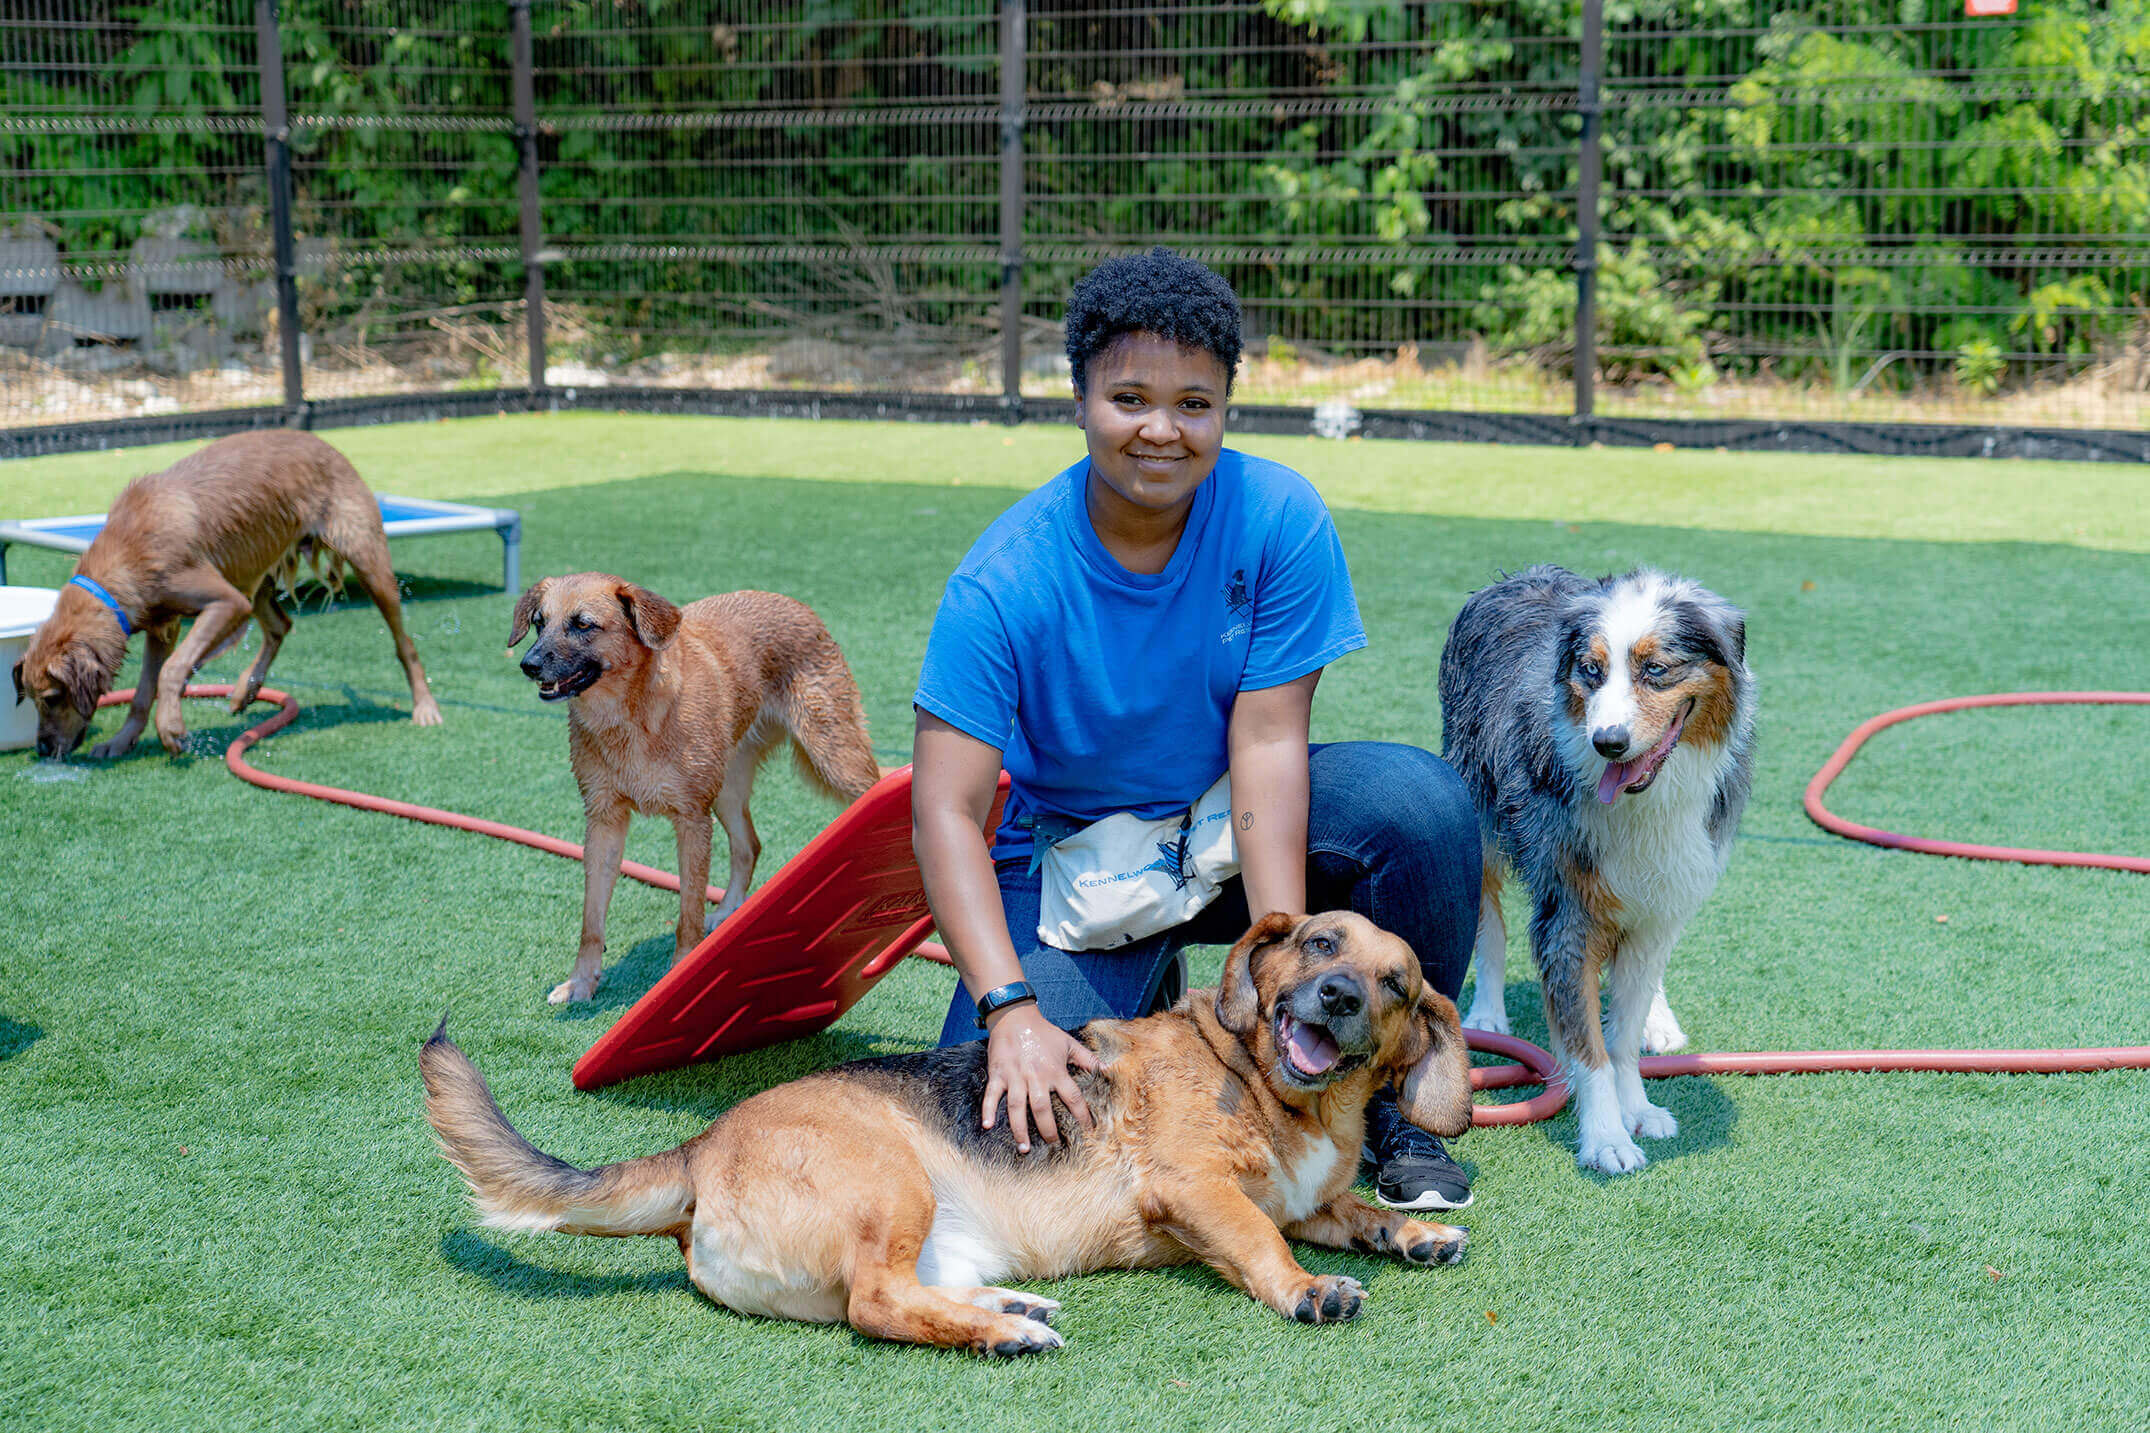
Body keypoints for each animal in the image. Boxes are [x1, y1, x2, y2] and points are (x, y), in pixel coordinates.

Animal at [15, 431, 445, 760]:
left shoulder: (223, 603)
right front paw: (122, 741)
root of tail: (325, 443)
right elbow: (143, 691)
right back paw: (243, 690)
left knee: (404, 642)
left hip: (367, 562)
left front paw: (171, 727)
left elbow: (172, 670)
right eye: (32, 700)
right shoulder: (164, 626)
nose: (41, 749)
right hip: (255, 577)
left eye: (51, 697)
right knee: (280, 626)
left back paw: (425, 707)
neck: (125, 553)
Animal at [419, 906, 1479, 1357]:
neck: (1278, 1091)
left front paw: (1416, 1231)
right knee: (875, 1303)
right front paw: (1308, 1289)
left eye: (1396, 983)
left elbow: (1356, 1211)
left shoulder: (1313, 1199)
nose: (1339, 997)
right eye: (1320, 943)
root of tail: (701, 1150)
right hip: (894, 1179)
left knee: (905, 1291)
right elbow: (1264, 1239)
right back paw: (1005, 1333)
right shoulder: (1197, 1191)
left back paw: (1007, 1307)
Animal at [507, 575, 877, 1005]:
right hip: (729, 788)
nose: (528, 664)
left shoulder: (692, 820)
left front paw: (680, 970)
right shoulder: (604, 821)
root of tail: (794, 603)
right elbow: (591, 921)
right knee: (749, 845)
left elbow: (688, 912)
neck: (632, 718)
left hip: (836, 759)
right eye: (539, 622)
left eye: (583, 624)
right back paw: (729, 912)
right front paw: (581, 982)